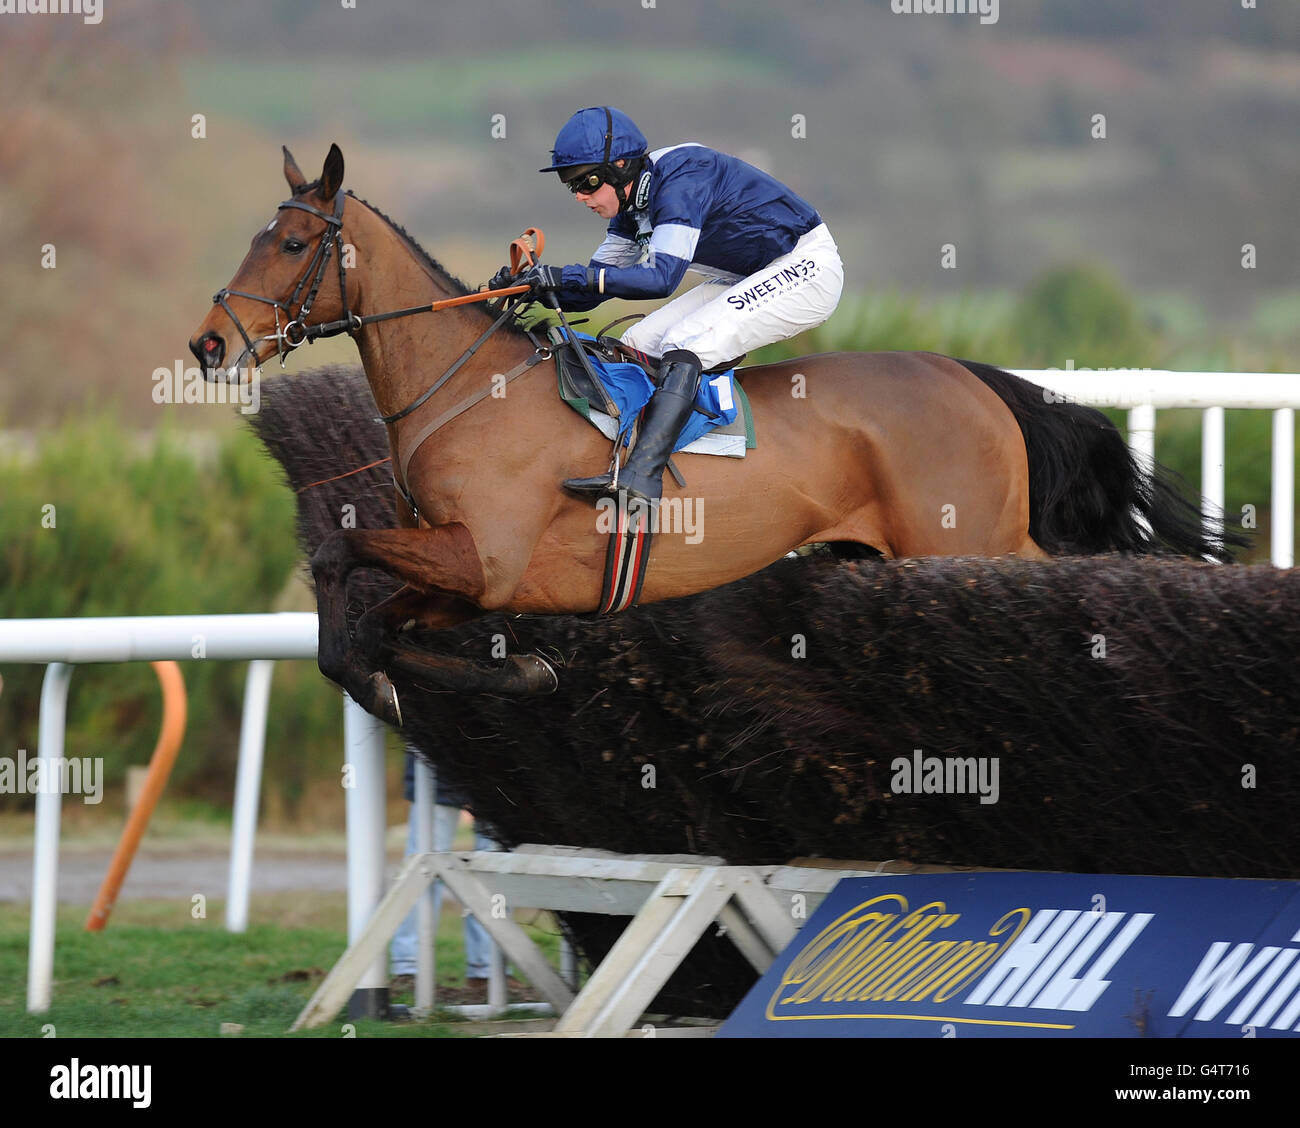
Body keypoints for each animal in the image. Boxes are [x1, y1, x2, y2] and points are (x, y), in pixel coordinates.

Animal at [188, 144, 1234, 726]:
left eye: (291, 243)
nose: (208, 344)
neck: (471, 392)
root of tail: (972, 379)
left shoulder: (480, 556)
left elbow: (340, 561)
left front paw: (389, 681)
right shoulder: (470, 578)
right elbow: (382, 628)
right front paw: (516, 670)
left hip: (964, 540)